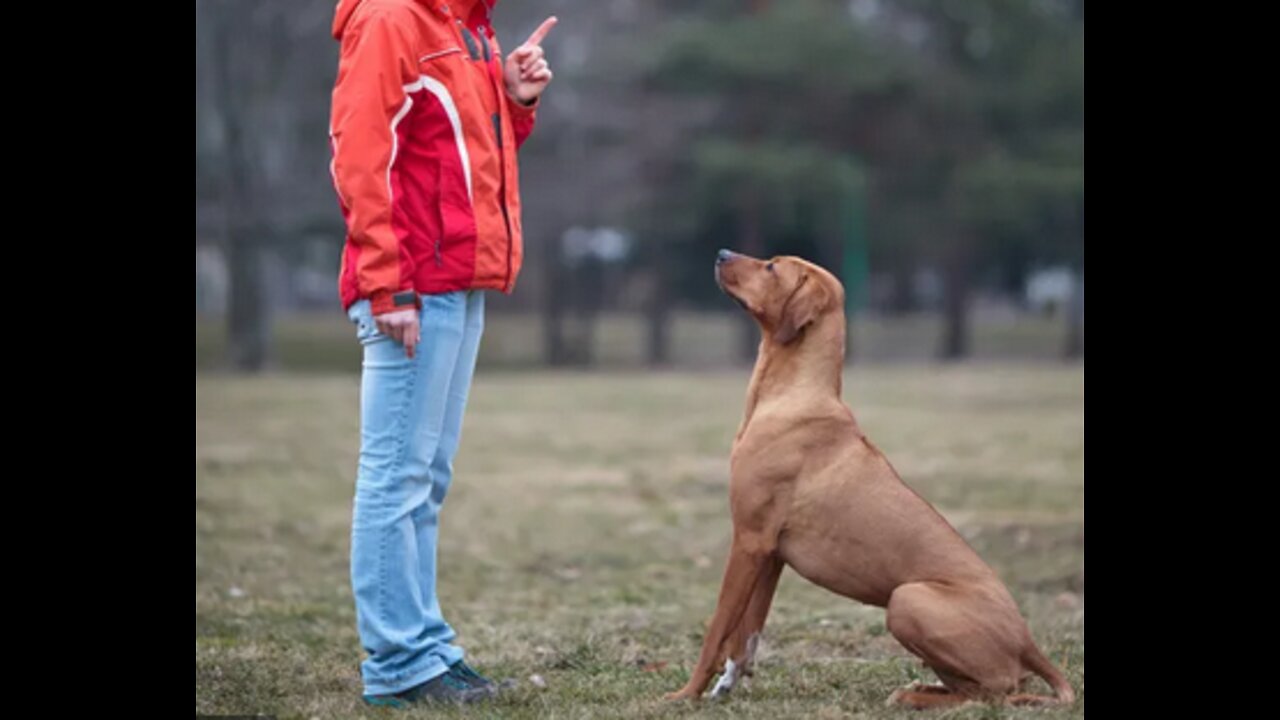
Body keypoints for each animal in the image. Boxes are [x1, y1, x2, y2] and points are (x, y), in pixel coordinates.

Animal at [665, 248, 1075, 707]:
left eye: (771, 267)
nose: (721, 254)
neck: (793, 396)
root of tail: (1028, 642)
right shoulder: (770, 553)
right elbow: (746, 633)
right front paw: (726, 684)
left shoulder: (749, 541)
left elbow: (717, 629)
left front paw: (685, 694)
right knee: (978, 687)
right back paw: (918, 691)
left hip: (907, 599)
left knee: (994, 691)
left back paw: (914, 698)